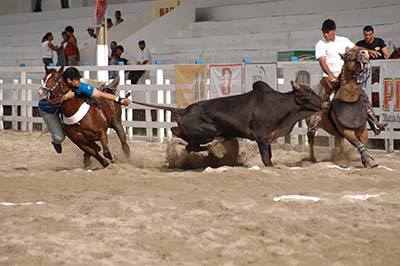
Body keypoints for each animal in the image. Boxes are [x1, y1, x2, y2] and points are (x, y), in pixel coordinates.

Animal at [133, 80, 324, 166]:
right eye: (306, 94)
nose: (324, 103)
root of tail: (183, 110)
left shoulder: (268, 138)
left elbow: (269, 157)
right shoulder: (261, 137)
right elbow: (266, 159)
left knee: (183, 139)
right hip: (208, 132)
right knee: (193, 145)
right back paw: (216, 148)